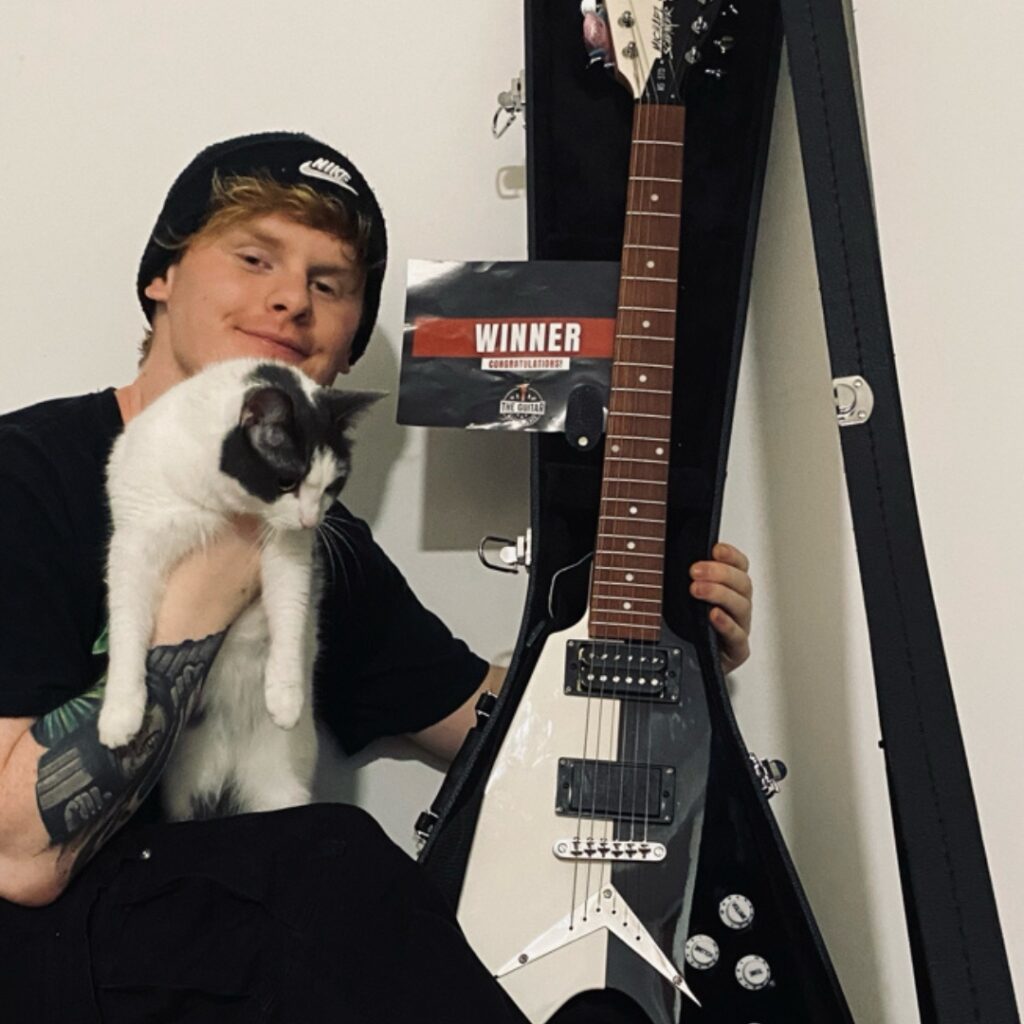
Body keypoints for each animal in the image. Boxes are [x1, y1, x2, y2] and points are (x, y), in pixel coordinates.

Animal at [96, 357, 377, 819]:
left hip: (281, 790)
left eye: (332, 487)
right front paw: (121, 713)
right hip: (183, 797)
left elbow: (290, 617)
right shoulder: (135, 546)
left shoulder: (289, 553)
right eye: (286, 481)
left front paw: (285, 696)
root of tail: (228, 767)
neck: (223, 504)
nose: (311, 521)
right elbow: (127, 628)